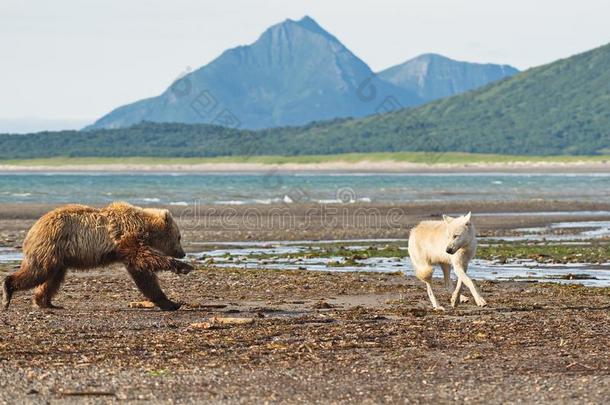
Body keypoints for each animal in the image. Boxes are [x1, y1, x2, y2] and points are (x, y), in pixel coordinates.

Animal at [1, 201, 191, 310]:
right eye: (179, 236)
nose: (183, 253)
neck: (145, 227)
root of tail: (34, 227)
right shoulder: (127, 237)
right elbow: (143, 258)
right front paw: (183, 267)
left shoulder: (126, 249)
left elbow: (143, 275)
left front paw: (170, 303)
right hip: (50, 246)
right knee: (37, 272)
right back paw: (8, 291)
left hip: (59, 258)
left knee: (52, 278)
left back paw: (46, 302)